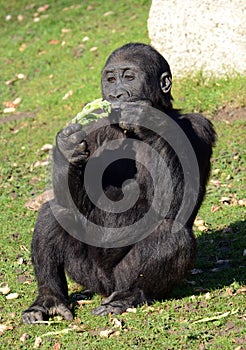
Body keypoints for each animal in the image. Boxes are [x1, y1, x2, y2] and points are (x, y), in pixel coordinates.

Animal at [22, 41, 215, 322]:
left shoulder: (200, 128)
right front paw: (68, 147)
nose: (116, 94)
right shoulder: (93, 130)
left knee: (170, 232)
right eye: (110, 79)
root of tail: (105, 288)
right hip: (87, 274)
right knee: (54, 211)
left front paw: (145, 117)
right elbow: (72, 198)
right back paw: (49, 298)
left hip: (120, 277)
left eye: (129, 77)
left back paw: (129, 295)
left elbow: (179, 202)